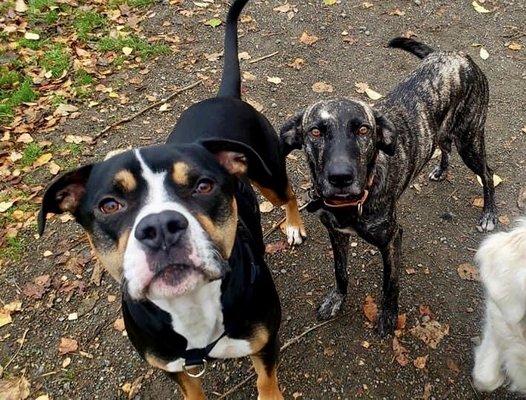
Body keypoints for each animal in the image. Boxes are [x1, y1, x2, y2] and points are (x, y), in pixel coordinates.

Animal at [39, 1, 288, 398]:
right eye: (110, 205)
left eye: (203, 185)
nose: (160, 228)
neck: (190, 306)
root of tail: (224, 96)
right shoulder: (172, 366)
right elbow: (191, 389)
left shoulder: (264, 342)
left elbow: (266, 380)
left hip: (270, 177)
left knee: (289, 195)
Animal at [280, 38, 500, 338]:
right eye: (315, 131)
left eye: (363, 130)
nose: (340, 177)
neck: (351, 205)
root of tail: (457, 55)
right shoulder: (336, 233)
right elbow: (340, 272)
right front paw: (337, 298)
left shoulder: (392, 239)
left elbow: (390, 285)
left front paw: (388, 317)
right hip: (444, 132)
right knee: (444, 146)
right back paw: (441, 170)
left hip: (470, 140)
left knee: (487, 173)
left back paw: (489, 214)